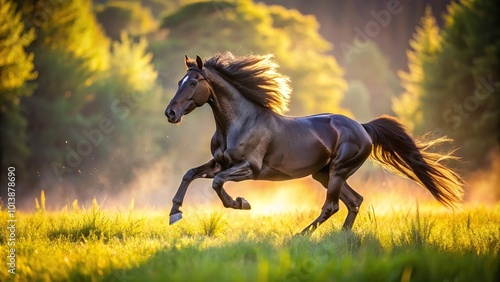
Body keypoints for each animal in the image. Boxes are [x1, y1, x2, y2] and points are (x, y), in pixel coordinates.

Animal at [165, 52, 464, 234]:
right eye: (179, 80)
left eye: (193, 82)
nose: (171, 113)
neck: (239, 122)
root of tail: (364, 128)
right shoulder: (219, 163)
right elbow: (189, 174)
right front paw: (174, 213)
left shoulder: (249, 168)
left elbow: (217, 184)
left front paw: (241, 203)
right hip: (324, 173)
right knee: (354, 201)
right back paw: (342, 237)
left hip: (338, 171)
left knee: (333, 206)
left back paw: (301, 235)